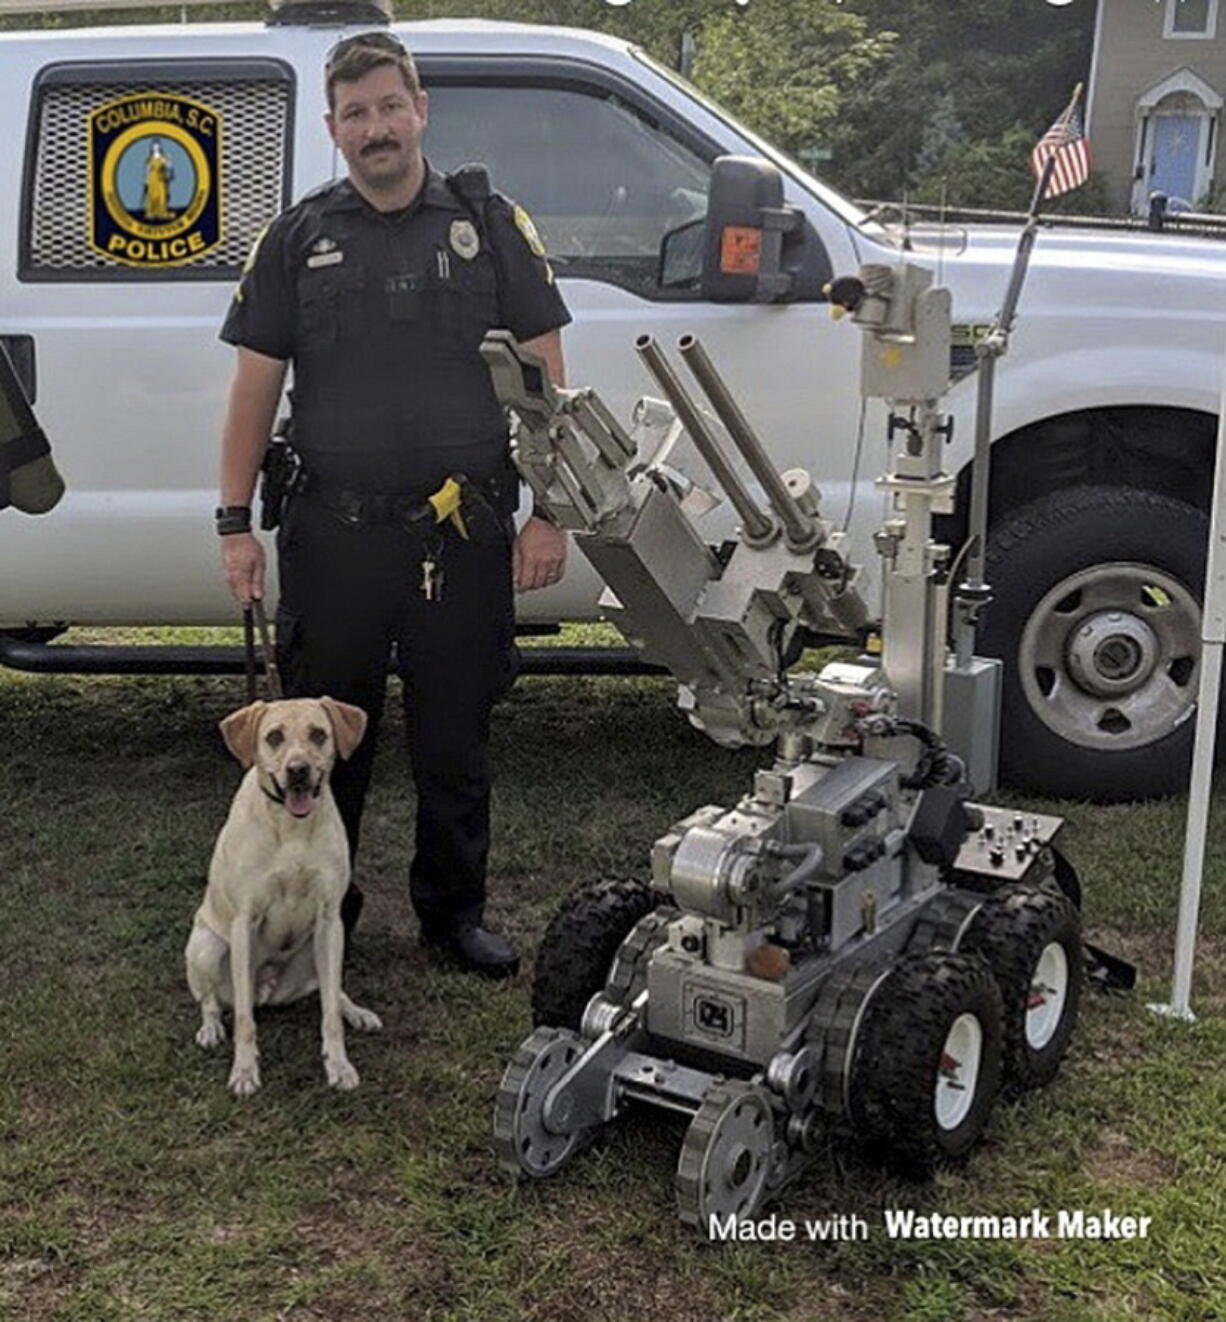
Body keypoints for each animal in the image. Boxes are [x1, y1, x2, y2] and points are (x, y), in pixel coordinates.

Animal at [183, 698, 378, 1099]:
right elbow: (244, 1019)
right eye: (274, 737)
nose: (298, 770)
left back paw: (358, 1012)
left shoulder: (330, 918)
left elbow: (329, 1014)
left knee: (332, 992)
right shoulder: (244, 922)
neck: (292, 827)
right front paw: (244, 1071)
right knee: (210, 1001)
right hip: (207, 947)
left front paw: (339, 1065)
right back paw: (211, 1028)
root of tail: (268, 992)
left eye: (319, 734)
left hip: (318, 950)